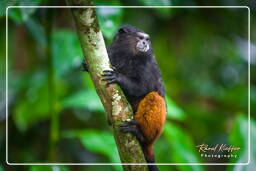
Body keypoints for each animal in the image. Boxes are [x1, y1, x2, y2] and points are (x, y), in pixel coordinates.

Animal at [82, 25, 166, 171]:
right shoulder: (111, 55)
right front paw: (86, 66)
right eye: (140, 38)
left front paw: (119, 78)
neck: (128, 56)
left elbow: (143, 87)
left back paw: (140, 134)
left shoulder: (147, 65)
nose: (145, 44)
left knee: (155, 97)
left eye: (147, 39)